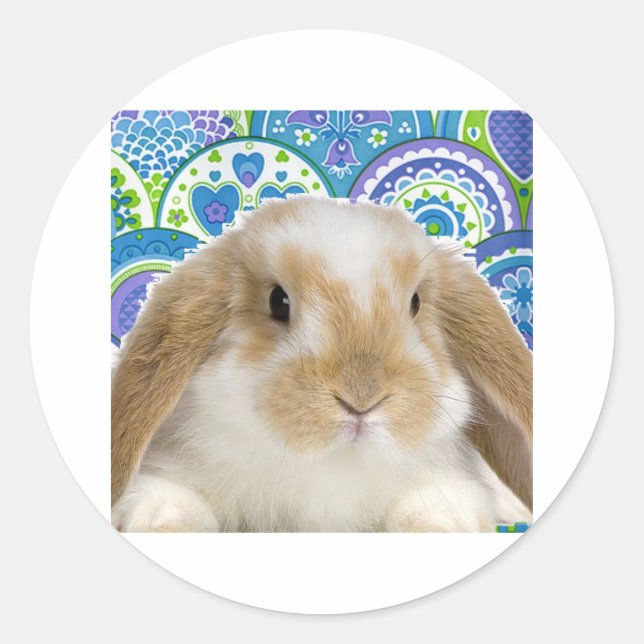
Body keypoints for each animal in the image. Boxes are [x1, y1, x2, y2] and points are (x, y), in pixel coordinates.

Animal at [111, 195, 533, 532]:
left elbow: (433, 509)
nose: (361, 399)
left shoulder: (449, 485)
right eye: (278, 301)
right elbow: (169, 503)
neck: (332, 463)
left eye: (415, 303)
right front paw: (164, 526)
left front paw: (438, 528)